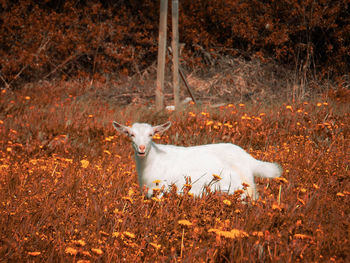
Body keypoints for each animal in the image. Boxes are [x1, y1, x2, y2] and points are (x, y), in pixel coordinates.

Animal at [112, 121, 282, 200]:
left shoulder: (161, 189)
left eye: (151, 134)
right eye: (131, 134)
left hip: (243, 189)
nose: (141, 148)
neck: (153, 159)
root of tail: (248, 158)